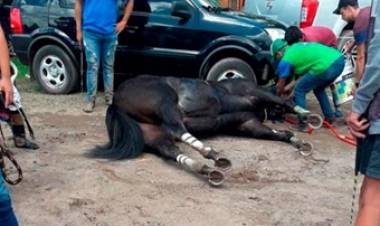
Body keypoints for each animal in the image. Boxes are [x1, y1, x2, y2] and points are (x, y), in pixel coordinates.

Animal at [91, 75, 318, 186]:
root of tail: (116, 101)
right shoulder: (255, 94)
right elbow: (284, 101)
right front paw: (310, 117)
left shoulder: (247, 123)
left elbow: (273, 133)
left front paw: (297, 141)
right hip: (165, 100)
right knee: (177, 129)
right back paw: (212, 154)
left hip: (153, 135)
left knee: (172, 151)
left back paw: (207, 169)